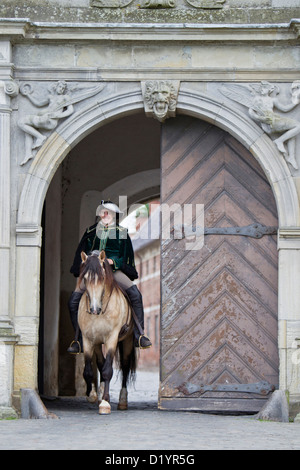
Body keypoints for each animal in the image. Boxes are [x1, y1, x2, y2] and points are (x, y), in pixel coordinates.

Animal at [78, 250, 138, 414]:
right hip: (98, 343)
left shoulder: (112, 338)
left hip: (127, 340)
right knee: (100, 363)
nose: (94, 309)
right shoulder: (88, 339)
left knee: (124, 367)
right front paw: (92, 394)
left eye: (102, 278)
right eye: (85, 278)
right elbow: (89, 370)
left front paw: (105, 402)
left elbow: (107, 370)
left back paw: (122, 401)